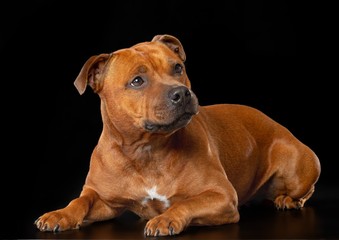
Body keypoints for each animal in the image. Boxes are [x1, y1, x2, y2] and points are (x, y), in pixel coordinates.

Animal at [34, 33, 322, 236]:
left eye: (177, 68)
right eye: (137, 81)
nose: (182, 93)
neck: (146, 151)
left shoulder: (221, 196)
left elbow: (185, 204)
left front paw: (166, 218)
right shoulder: (104, 200)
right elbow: (79, 201)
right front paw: (59, 214)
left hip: (298, 165)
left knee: (305, 189)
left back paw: (288, 200)